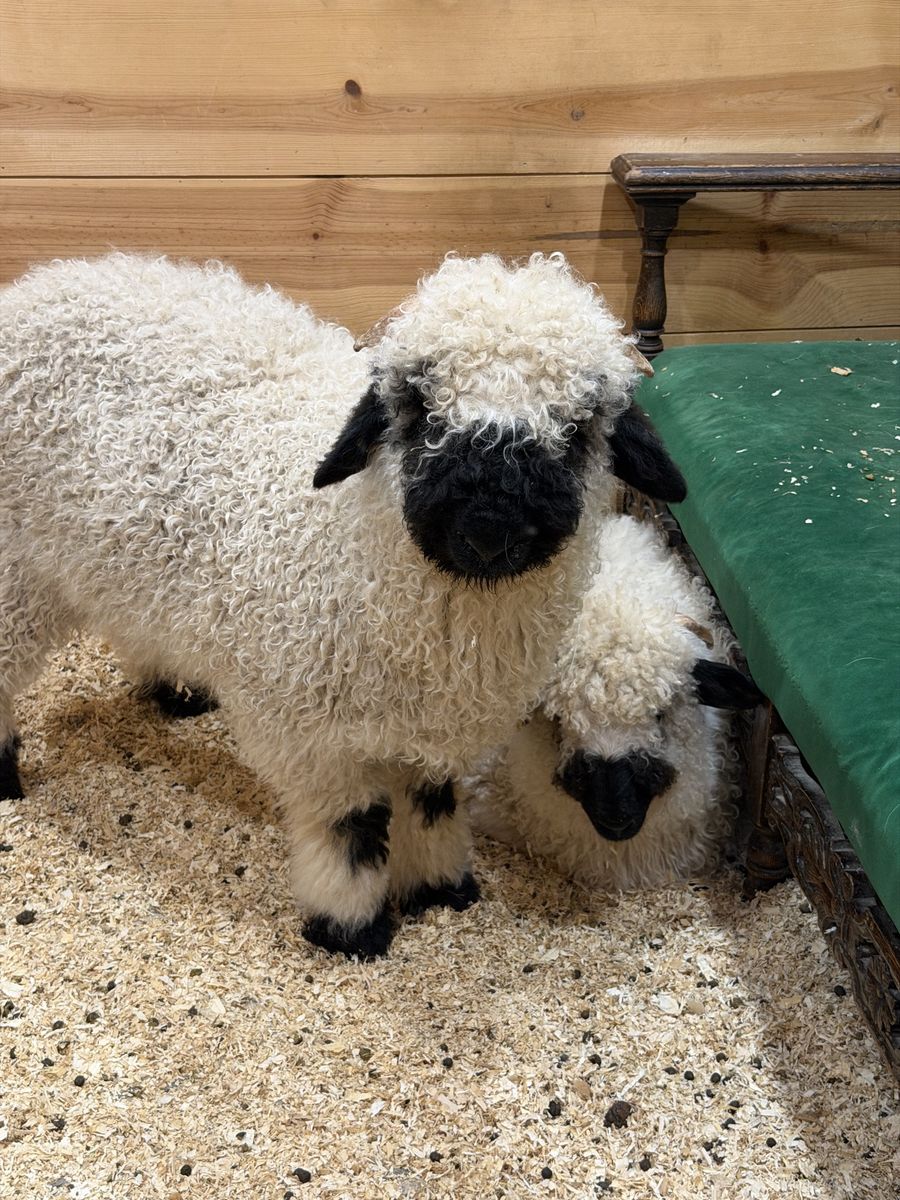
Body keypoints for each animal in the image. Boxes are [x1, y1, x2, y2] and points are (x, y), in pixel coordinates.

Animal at [0, 251, 686, 956]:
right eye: (419, 409)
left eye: (579, 429)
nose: (487, 532)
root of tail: (41, 285)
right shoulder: (315, 740)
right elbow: (351, 830)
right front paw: (349, 929)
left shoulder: (440, 731)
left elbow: (432, 804)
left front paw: (438, 889)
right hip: (17, 573)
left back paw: (174, 690)